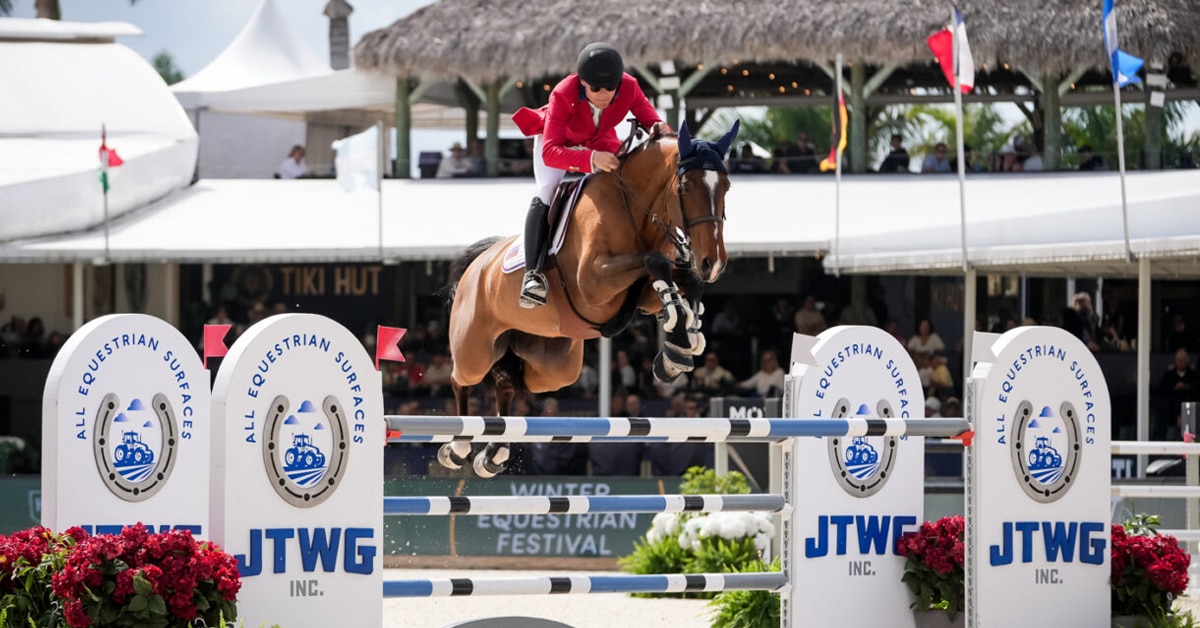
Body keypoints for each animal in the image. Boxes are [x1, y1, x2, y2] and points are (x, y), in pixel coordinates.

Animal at [439, 119, 740, 477]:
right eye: (687, 186)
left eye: (727, 186)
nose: (714, 263)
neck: (633, 208)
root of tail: (477, 264)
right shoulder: (594, 283)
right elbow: (655, 262)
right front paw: (679, 344)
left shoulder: (643, 294)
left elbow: (679, 280)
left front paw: (681, 345)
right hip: (475, 348)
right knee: (462, 378)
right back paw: (457, 448)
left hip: (554, 365)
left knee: (509, 381)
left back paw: (494, 452)